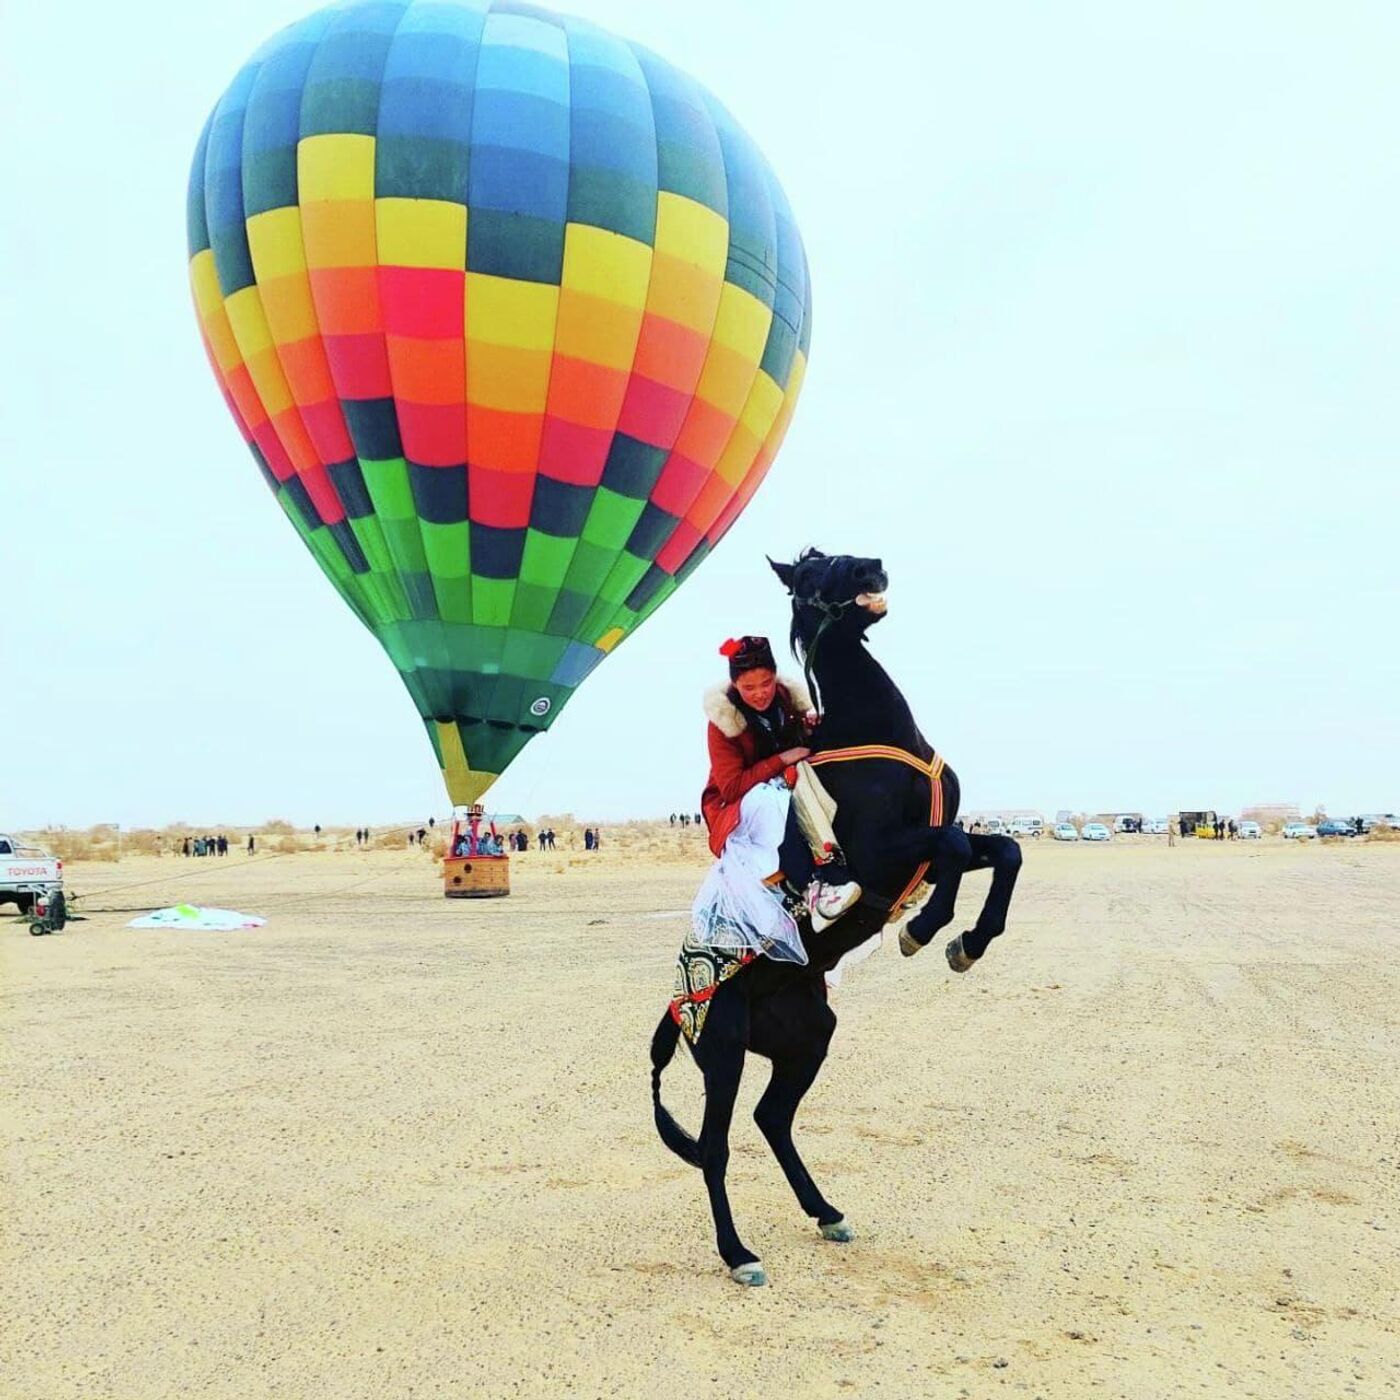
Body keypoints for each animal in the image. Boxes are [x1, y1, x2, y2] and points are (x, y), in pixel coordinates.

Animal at [649, 540, 1024, 1282]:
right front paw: (923, 931)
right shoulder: (885, 853)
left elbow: (1002, 848)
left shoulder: (927, 847)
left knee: (772, 1119)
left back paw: (826, 1212)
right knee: (716, 1147)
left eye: (831, 555)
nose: (869, 568)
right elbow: (953, 845)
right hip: (723, 1054)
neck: (879, 730)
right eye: (808, 574)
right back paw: (739, 1255)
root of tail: (676, 1009)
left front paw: (968, 943)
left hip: (807, 1040)